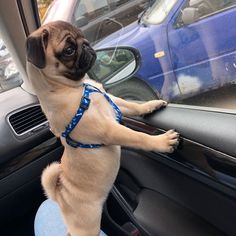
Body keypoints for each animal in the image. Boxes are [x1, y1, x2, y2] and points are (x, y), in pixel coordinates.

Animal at [25, 20, 179, 236]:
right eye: (69, 50)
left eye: (81, 35)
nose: (87, 44)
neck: (75, 88)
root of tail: (60, 195)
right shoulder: (108, 129)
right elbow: (138, 137)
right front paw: (162, 142)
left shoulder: (113, 102)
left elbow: (132, 105)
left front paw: (151, 104)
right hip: (87, 227)